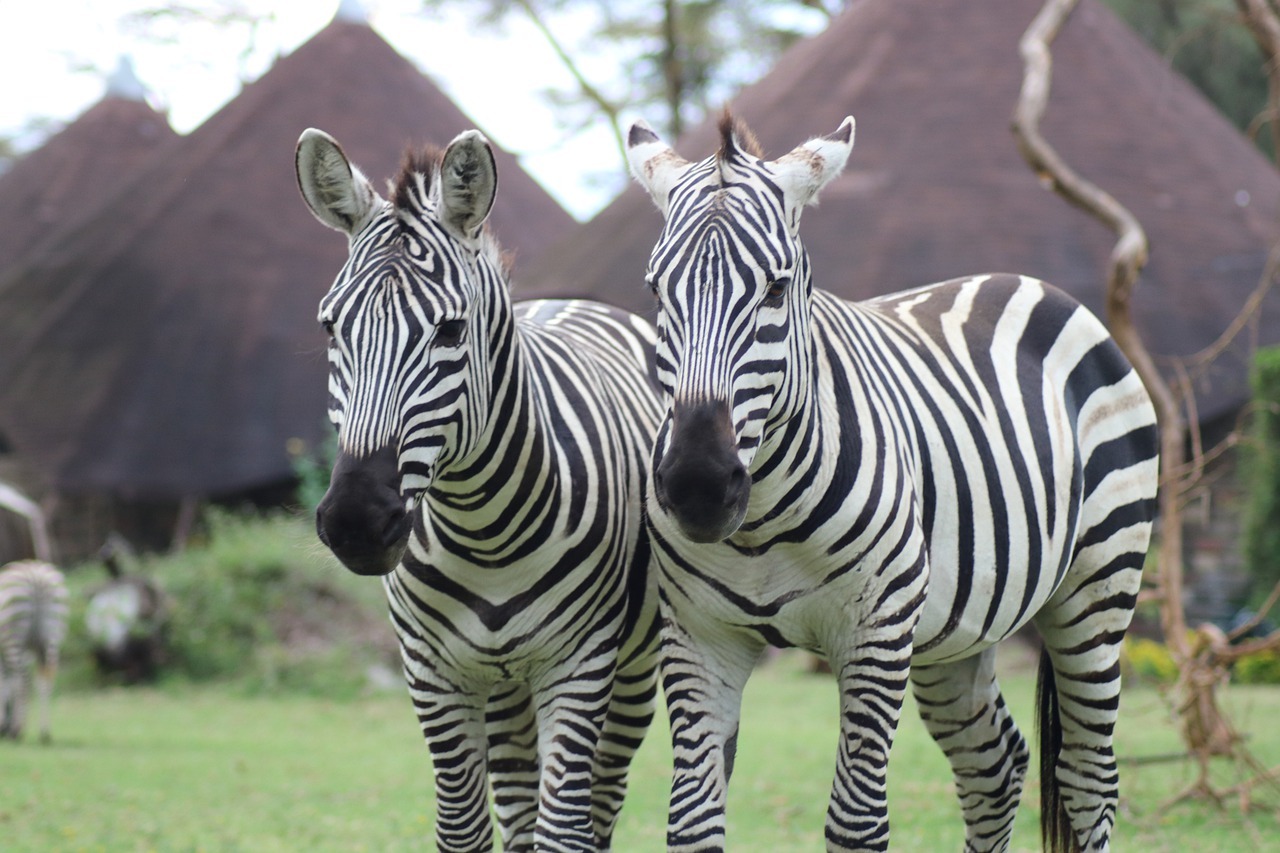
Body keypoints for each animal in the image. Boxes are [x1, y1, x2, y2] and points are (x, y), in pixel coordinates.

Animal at [0, 558, 69, 737]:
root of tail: (35, 576)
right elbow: (7, 683)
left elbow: (6, 684)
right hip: (52, 635)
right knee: (46, 679)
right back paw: (44, 732)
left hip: (13, 636)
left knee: (24, 682)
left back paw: (17, 730)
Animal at [295, 122, 665, 845]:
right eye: (330, 325)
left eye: (450, 328)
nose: (356, 521)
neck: (484, 530)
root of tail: (571, 299)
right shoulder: (433, 672)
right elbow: (465, 829)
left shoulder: (579, 666)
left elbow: (563, 830)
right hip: (504, 686)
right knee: (518, 805)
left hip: (633, 668)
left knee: (598, 806)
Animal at [624, 112, 1167, 850]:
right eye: (656, 290)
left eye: (776, 288)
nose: (698, 486)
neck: (763, 522)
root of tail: (1026, 282)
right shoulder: (700, 636)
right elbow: (691, 821)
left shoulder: (876, 632)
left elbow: (856, 822)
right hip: (955, 629)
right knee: (996, 766)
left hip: (1098, 587)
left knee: (1088, 780)